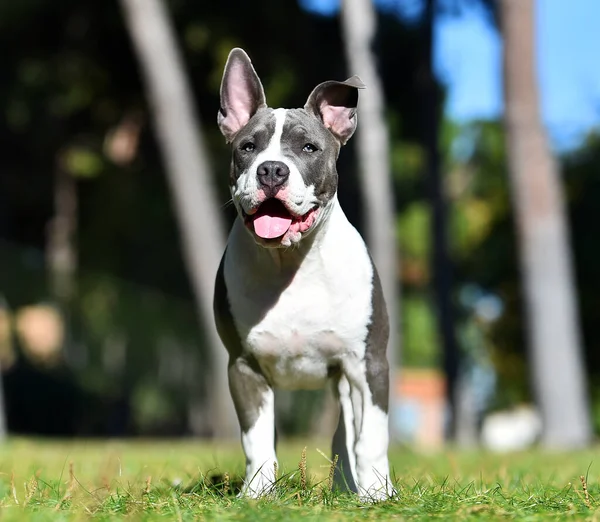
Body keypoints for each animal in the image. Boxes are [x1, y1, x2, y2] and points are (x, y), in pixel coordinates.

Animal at [213, 48, 396, 500]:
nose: (272, 170)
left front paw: (377, 495)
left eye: (309, 147)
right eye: (248, 147)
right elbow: (257, 439)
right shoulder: (243, 366)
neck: (291, 263)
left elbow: (370, 437)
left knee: (346, 436)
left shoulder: (368, 364)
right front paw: (256, 495)